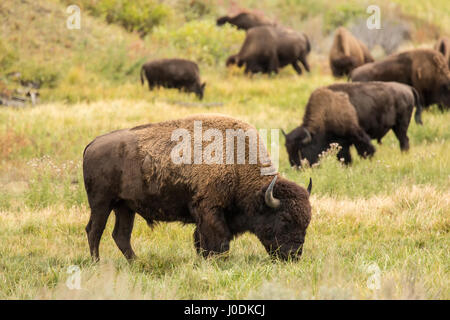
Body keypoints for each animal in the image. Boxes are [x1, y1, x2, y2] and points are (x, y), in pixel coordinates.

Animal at [82, 114, 312, 262]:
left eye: (306, 222)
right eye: (284, 219)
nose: (294, 255)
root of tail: (92, 144)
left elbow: (202, 240)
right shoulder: (209, 210)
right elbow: (217, 239)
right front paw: (215, 260)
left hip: (125, 207)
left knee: (120, 235)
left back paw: (136, 262)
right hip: (102, 204)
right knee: (94, 230)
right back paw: (97, 263)